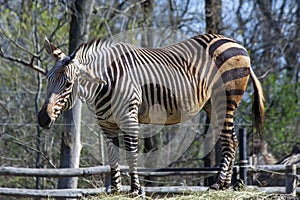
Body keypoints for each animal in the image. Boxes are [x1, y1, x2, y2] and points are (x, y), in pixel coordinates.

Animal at [38, 33, 264, 195]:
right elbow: (113, 156)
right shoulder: (106, 123)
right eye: (48, 79)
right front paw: (115, 190)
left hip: (224, 100)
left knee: (229, 141)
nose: (42, 119)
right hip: (212, 106)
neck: (105, 82)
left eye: (68, 84)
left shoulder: (129, 117)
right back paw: (225, 185)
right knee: (232, 140)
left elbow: (131, 153)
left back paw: (218, 184)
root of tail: (235, 42)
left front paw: (135, 190)